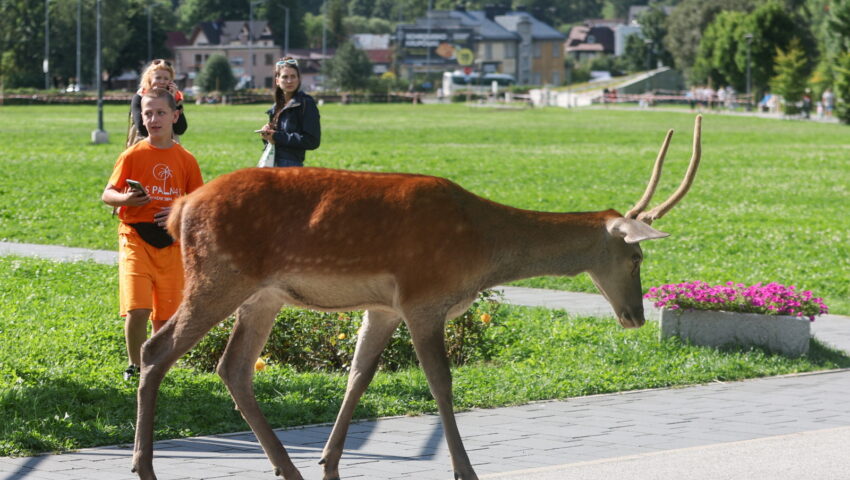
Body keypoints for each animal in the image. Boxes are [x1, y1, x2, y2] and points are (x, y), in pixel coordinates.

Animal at [131, 115, 704, 480]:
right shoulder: (424, 298)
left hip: (263, 296)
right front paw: (465, 469)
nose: (635, 316)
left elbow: (358, 375)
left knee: (232, 367)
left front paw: (329, 463)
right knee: (157, 349)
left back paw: (287, 467)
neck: (481, 248)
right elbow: (442, 384)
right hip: (219, 276)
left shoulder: (385, 306)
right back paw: (145, 466)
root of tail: (179, 209)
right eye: (636, 257)